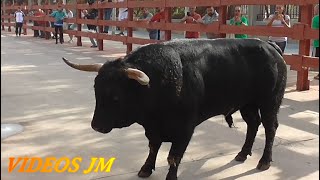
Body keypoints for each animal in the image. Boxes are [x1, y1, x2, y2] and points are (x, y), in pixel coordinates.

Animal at [62, 38, 288, 179]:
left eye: (116, 97)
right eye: (96, 91)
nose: (96, 126)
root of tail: (269, 46)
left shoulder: (184, 129)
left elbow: (173, 157)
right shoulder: (153, 129)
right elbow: (153, 147)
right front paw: (146, 168)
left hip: (269, 102)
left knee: (270, 127)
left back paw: (264, 161)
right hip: (247, 104)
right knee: (253, 124)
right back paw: (242, 153)